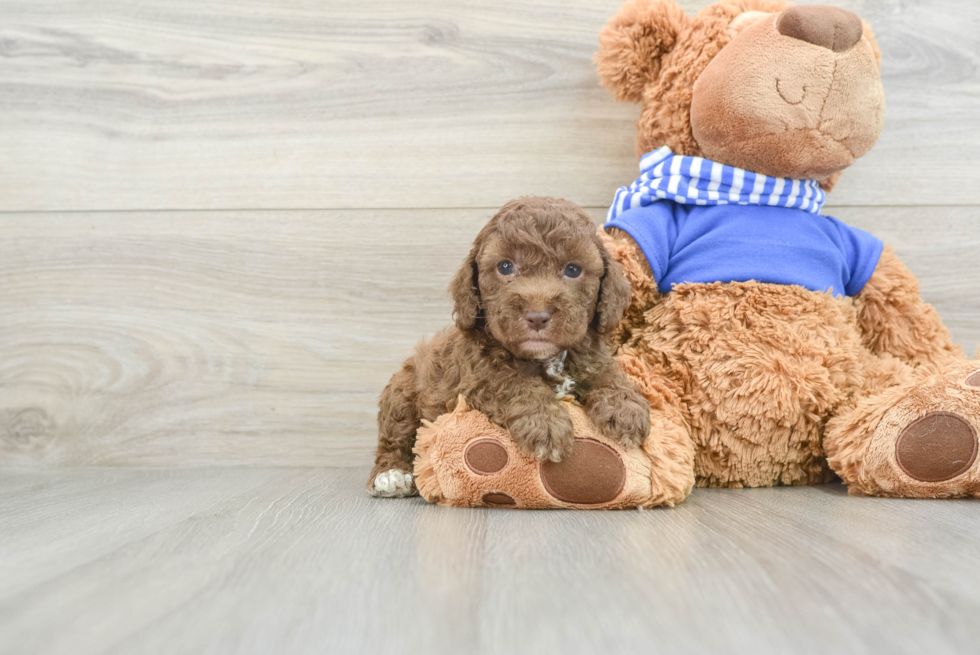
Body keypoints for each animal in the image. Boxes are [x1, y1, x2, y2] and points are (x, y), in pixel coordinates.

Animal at [372, 196, 656, 498]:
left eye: (573, 270)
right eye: (506, 267)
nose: (537, 315)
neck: (546, 358)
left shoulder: (588, 354)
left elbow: (605, 372)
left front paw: (624, 406)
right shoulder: (476, 376)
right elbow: (513, 382)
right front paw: (545, 425)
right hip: (403, 393)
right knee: (396, 435)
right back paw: (392, 475)